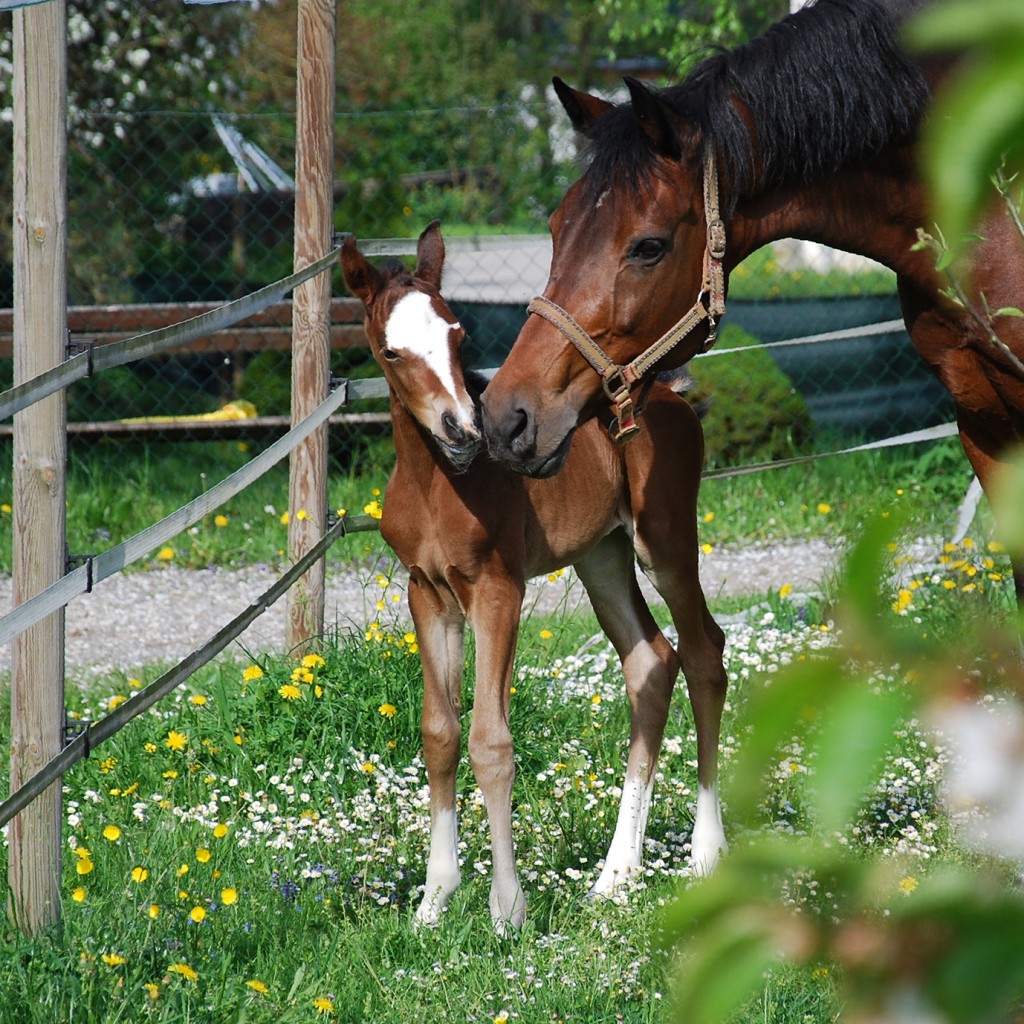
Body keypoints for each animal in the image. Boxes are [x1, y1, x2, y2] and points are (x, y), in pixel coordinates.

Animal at [344, 224, 729, 937]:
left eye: (458, 333)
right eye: (390, 351)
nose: (464, 429)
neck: (440, 482)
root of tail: (667, 396)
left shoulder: (497, 589)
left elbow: (490, 741)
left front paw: (507, 910)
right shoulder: (427, 593)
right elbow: (440, 733)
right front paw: (434, 901)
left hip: (663, 542)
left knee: (703, 652)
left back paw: (706, 852)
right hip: (601, 556)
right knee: (650, 661)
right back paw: (616, 874)